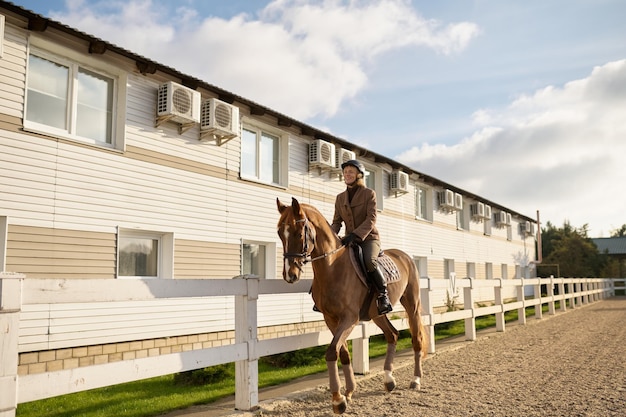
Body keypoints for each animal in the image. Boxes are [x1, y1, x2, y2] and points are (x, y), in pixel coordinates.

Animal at [276, 197, 426, 412]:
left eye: (298, 232)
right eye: (280, 233)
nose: (290, 274)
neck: (333, 267)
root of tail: (404, 256)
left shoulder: (349, 319)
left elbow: (332, 352)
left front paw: (338, 399)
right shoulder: (331, 319)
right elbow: (343, 353)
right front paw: (348, 392)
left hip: (412, 305)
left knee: (416, 339)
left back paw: (415, 380)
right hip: (377, 314)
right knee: (393, 335)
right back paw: (389, 380)